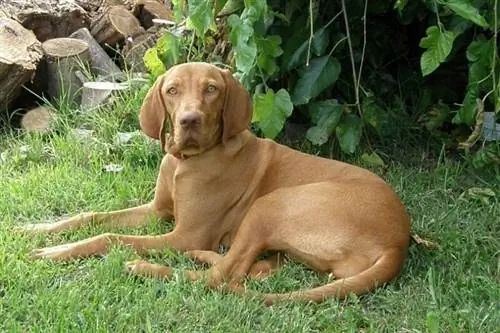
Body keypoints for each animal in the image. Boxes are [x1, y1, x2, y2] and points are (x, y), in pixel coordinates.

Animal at [20, 61, 410, 302]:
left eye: (211, 90)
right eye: (172, 91)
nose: (189, 120)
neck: (186, 161)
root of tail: (398, 241)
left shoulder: (184, 233)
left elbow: (109, 237)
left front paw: (55, 252)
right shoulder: (158, 211)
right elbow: (93, 217)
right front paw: (36, 229)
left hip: (270, 204)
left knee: (221, 277)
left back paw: (148, 267)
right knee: (251, 270)